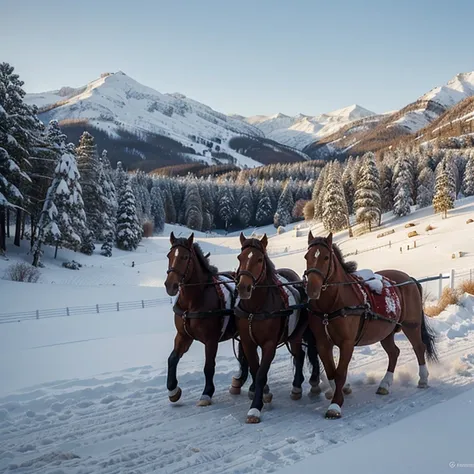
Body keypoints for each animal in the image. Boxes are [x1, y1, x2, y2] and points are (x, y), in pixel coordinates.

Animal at [165, 231, 250, 406]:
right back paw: (239, 381)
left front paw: (207, 392)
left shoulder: (211, 339)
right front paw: (173, 390)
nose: (170, 285)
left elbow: (208, 366)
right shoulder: (183, 335)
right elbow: (172, 358)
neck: (193, 301)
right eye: (169, 255)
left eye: (185, 257)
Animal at [235, 232, 320, 422]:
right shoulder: (248, 343)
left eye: (259, 259)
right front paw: (263, 393)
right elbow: (255, 369)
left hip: (302, 331)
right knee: (299, 355)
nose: (243, 287)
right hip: (294, 335)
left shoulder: (269, 345)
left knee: (308, 352)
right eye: (240, 257)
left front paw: (255, 407)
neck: (255, 310)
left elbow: (260, 374)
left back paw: (310, 383)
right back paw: (297, 386)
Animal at [304, 232, 436, 418]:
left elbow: (340, 373)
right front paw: (339, 392)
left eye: (326, 257)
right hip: (386, 331)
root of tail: (409, 279)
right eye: (307, 257)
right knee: (394, 352)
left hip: (411, 325)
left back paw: (423, 379)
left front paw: (335, 405)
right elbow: (331, 372)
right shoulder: (323, 344)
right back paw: (385, 384)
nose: (312, 289)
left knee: (419, 347)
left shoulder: (347, 343)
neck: (331, 306)